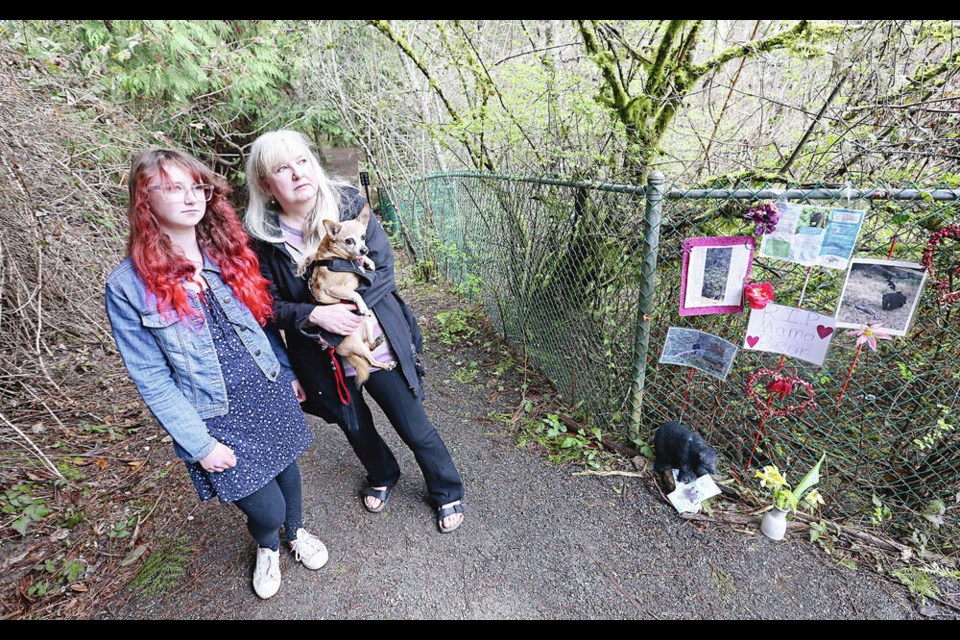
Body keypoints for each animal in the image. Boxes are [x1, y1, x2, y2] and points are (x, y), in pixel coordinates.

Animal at [310, 206, 396, 384]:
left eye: (363, 237)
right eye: (349, 241)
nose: (364, 249)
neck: (338, 257)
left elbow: (361, 263)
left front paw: (368, 261)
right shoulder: (332, 288)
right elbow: (355, 294)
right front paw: (361, 303)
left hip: (367, 326)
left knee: (370, 344)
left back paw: (377, 341)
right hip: (357, 345)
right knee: (370, 361)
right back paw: (386, 365)